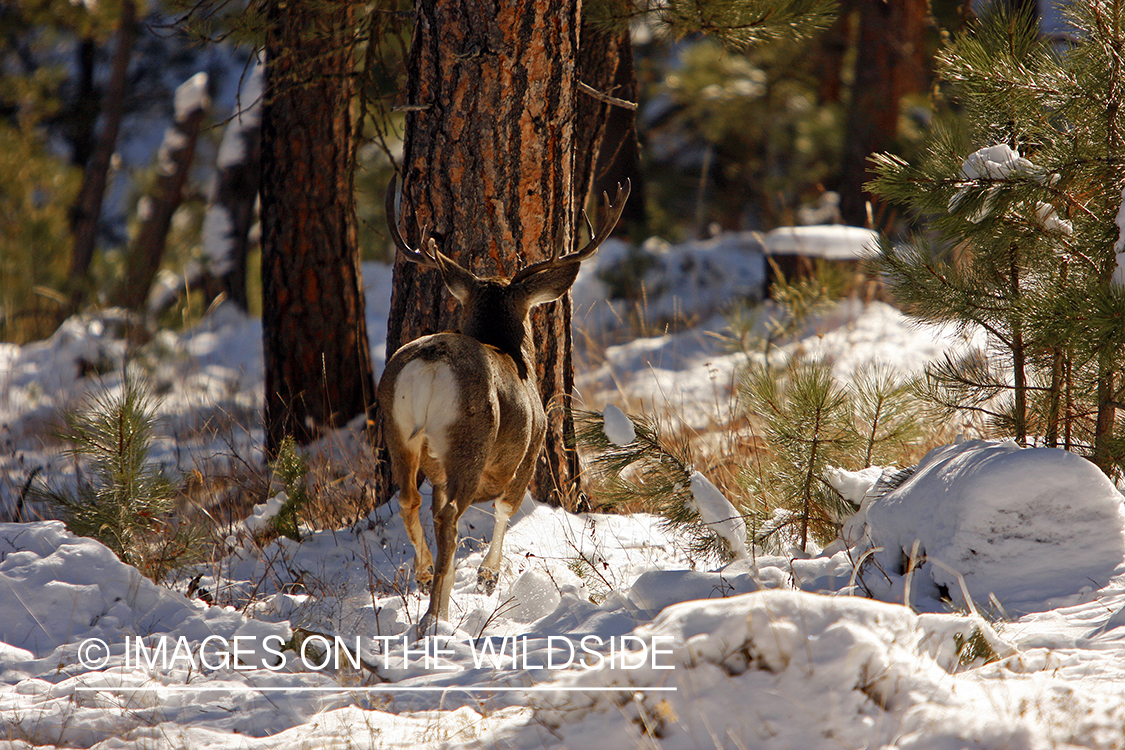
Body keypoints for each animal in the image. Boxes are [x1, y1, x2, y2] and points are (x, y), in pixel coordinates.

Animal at [378, 175, 630, 632]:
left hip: (396, 428)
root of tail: (432, 361)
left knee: (410, 500)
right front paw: (487, 578)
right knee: (450, 515)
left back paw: (425, 579)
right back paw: (435, 618)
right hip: (471, 437)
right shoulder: (532, 448)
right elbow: (505, 508)